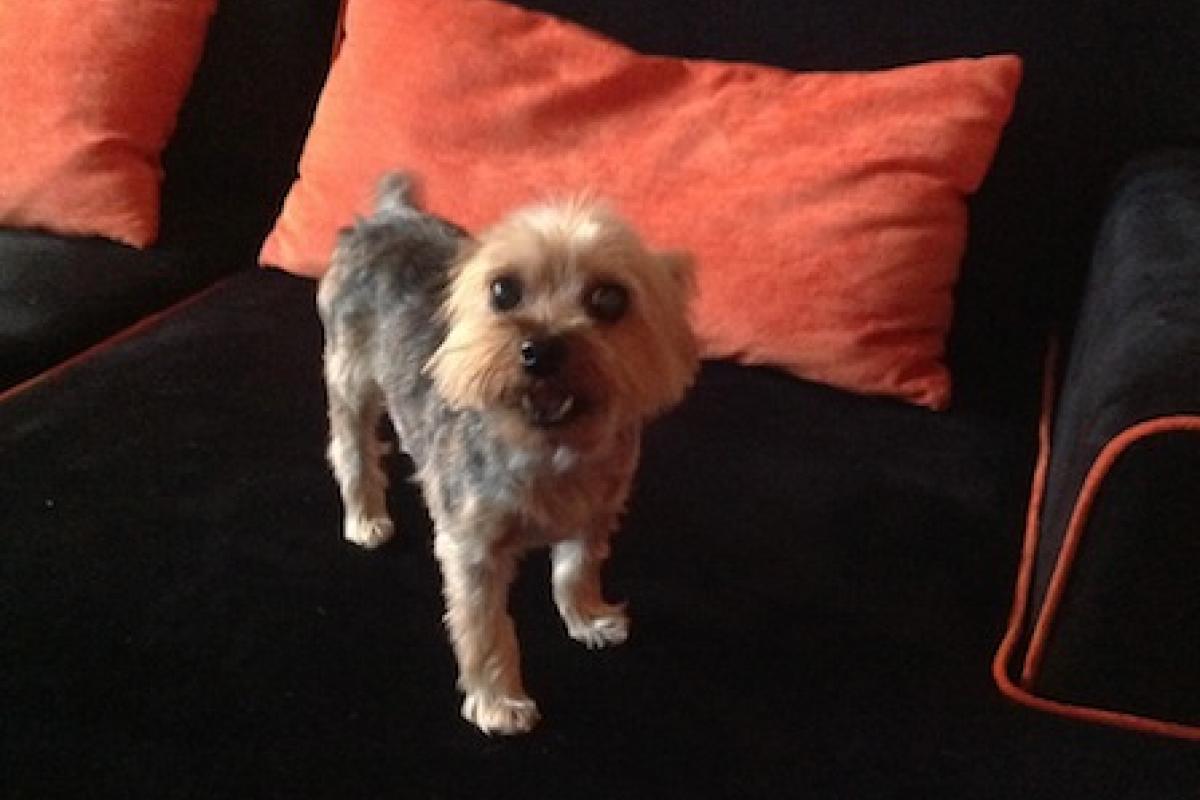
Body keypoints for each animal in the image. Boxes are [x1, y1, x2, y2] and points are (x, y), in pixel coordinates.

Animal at [316, 174, 698, 735]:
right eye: (503, 291)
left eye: (609, 299)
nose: (541, 349)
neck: (549, 451)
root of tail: (388, 215)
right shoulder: (471, 546)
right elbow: (485, 627)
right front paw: (499, 703)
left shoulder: (596, 512)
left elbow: (574, 570)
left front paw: (588, 617)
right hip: (349, 369)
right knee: (353, 445)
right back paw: (365, 516)